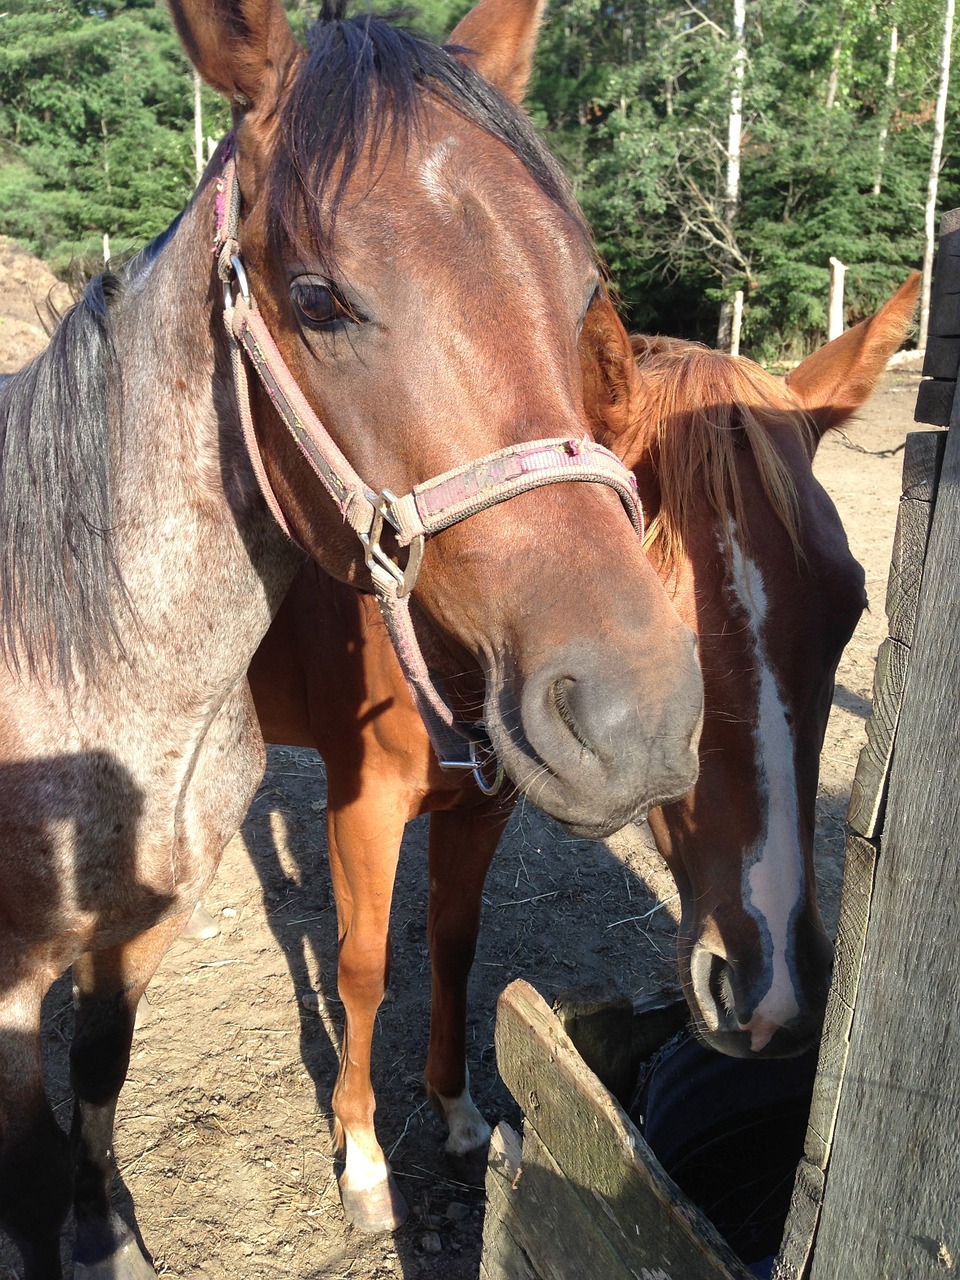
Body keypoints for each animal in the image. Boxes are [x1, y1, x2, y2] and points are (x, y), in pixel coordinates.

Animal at [249, 272, 926, 1228]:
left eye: (850, 607)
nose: (774, 992)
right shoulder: (362, 805)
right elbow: (362, 969)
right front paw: (366, 1162)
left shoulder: (483, 804)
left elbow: (454, 944)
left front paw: (457, 1112)